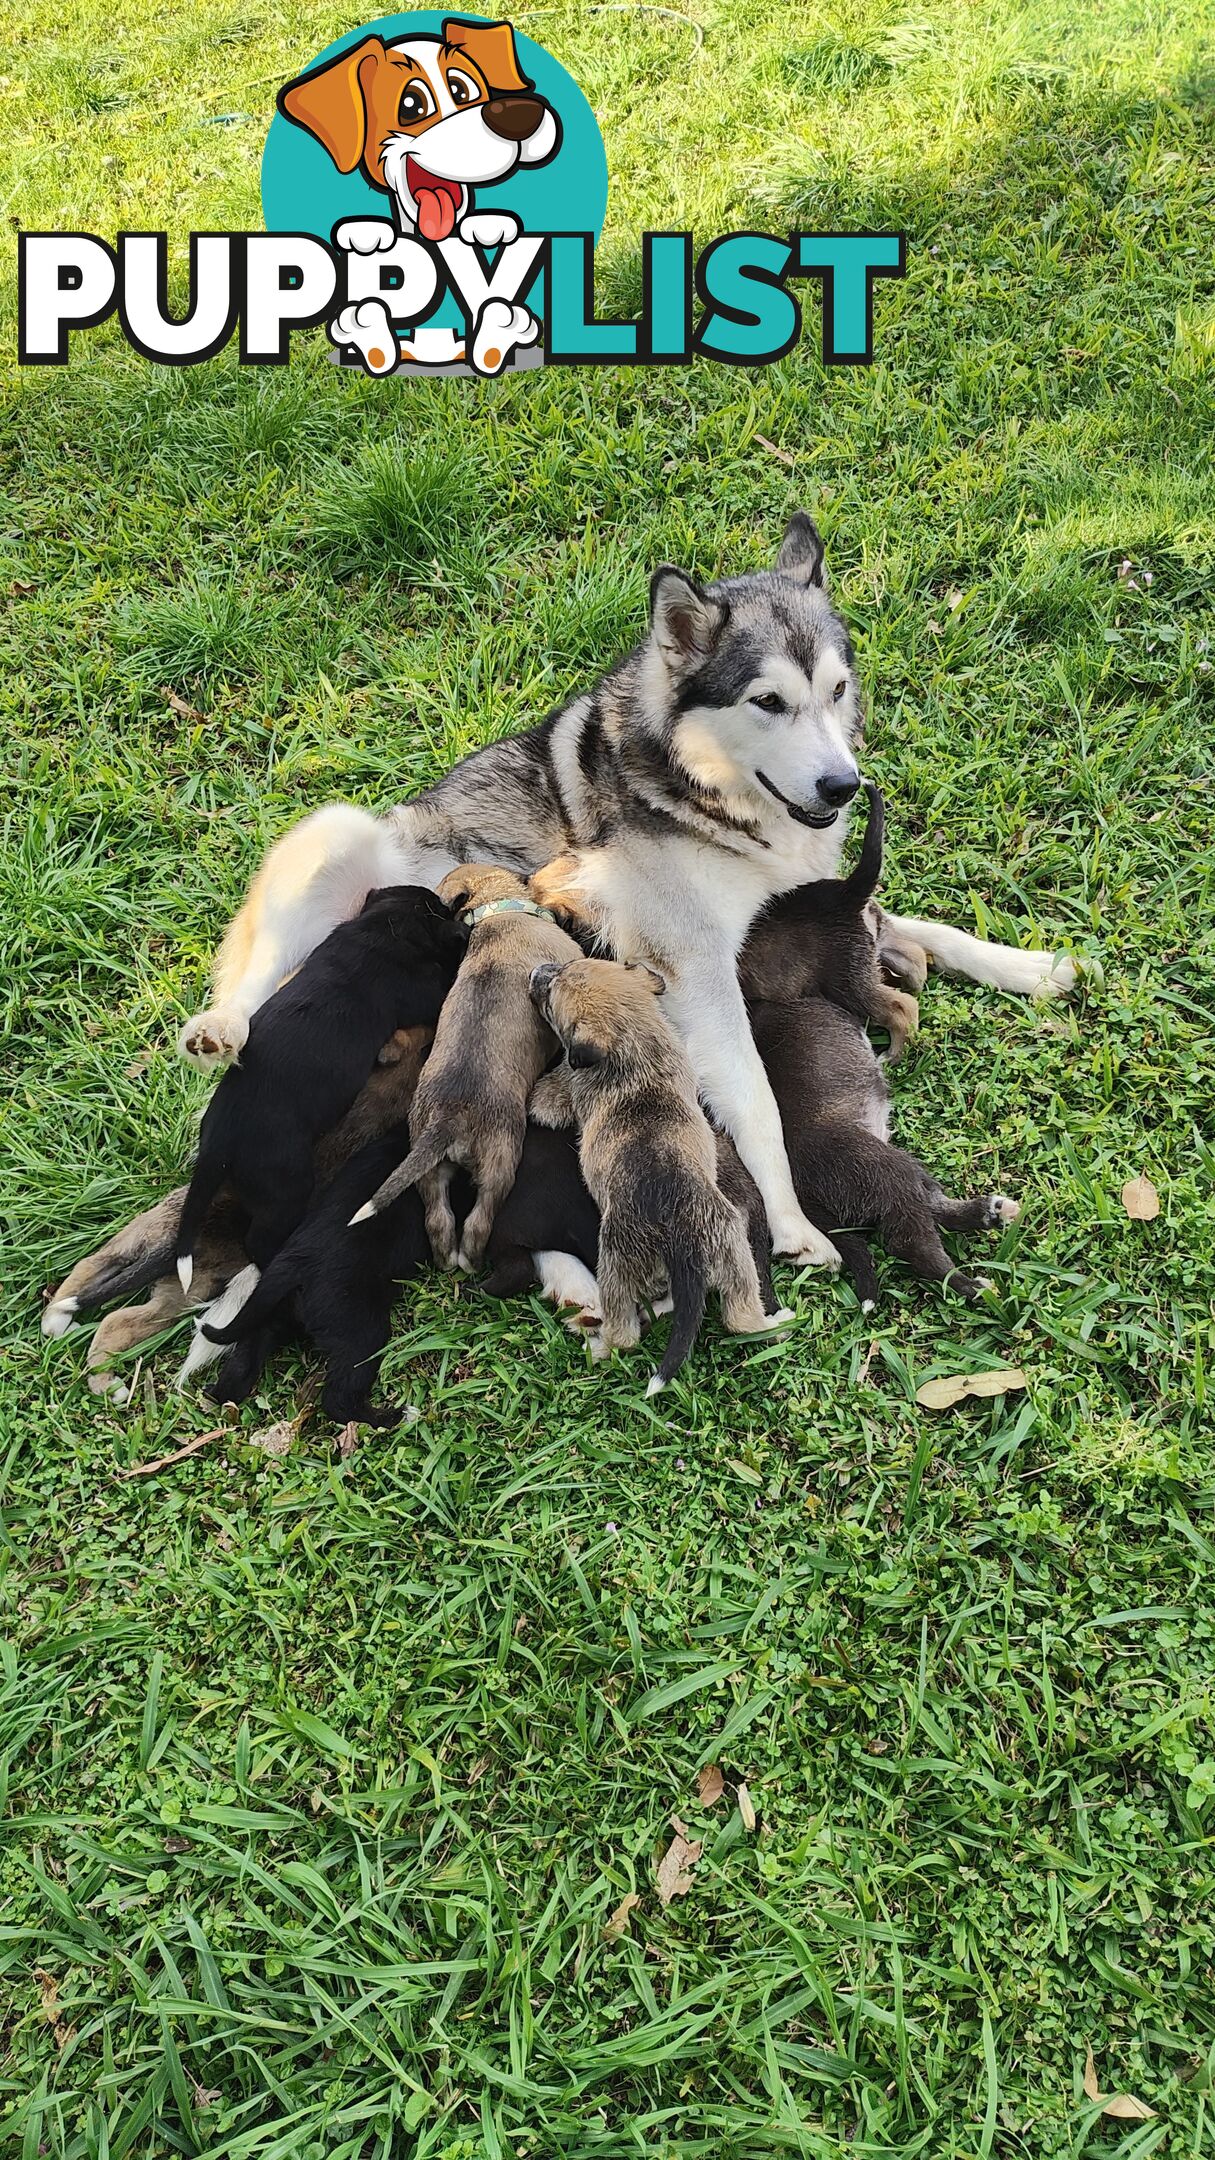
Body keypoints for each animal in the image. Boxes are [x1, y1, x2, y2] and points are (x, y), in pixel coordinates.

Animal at [350, 859, 583, 1261]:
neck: (495, 911)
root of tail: (449, 1120)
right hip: (501, 1158)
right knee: (478, 1220)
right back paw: (470, 1259)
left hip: (428, 1165)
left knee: (438, 1219)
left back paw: (447, 1257)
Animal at [525, 954, 791, 1391]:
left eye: (551, 994)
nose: (537, 971)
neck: (635, 1037)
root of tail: (684, 1244)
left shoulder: (568, 1082)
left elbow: (550, 1096)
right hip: (733, 1249)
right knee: (739, 1318)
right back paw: (775, 1322)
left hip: (616, 1263)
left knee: (625, 1332)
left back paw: (602, 1347)